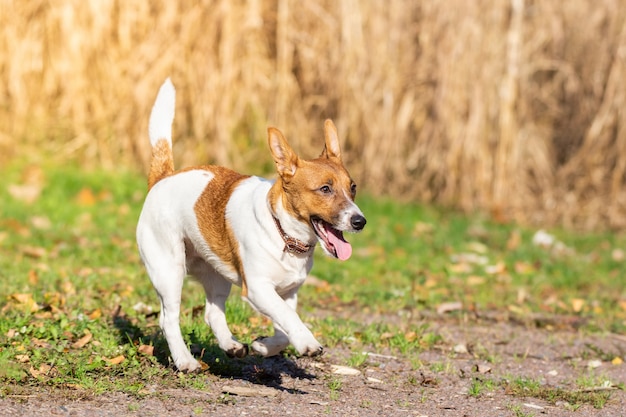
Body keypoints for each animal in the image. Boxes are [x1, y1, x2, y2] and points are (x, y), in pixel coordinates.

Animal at [134, 79, 364, 370]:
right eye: (325, 189)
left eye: (353, 187)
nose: (360, 221)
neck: (283, 233)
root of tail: (164, 177)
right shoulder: (258, 289)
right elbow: (289, 318)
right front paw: (307, 342)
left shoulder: (288, 292)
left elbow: (283, 329)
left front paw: (264, 346)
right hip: (169, 270)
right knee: (168, 319)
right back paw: (185, 360)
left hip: (216, 273)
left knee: (212, 313)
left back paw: (231, 346)